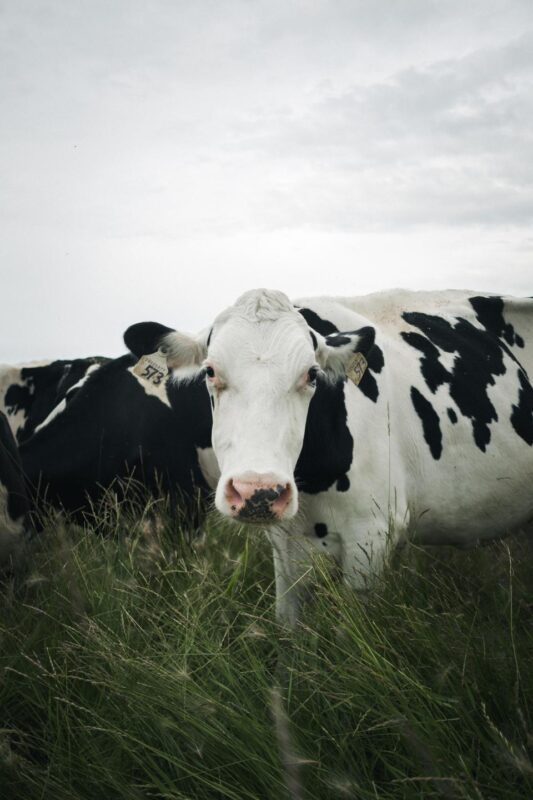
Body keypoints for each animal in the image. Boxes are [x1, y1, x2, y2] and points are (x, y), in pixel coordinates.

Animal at [126, 288, 533, 627]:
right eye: (210, 371)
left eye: (311, 374)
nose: (258, 492)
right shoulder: (284, 543)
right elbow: (287, 629)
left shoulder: (372, 536)